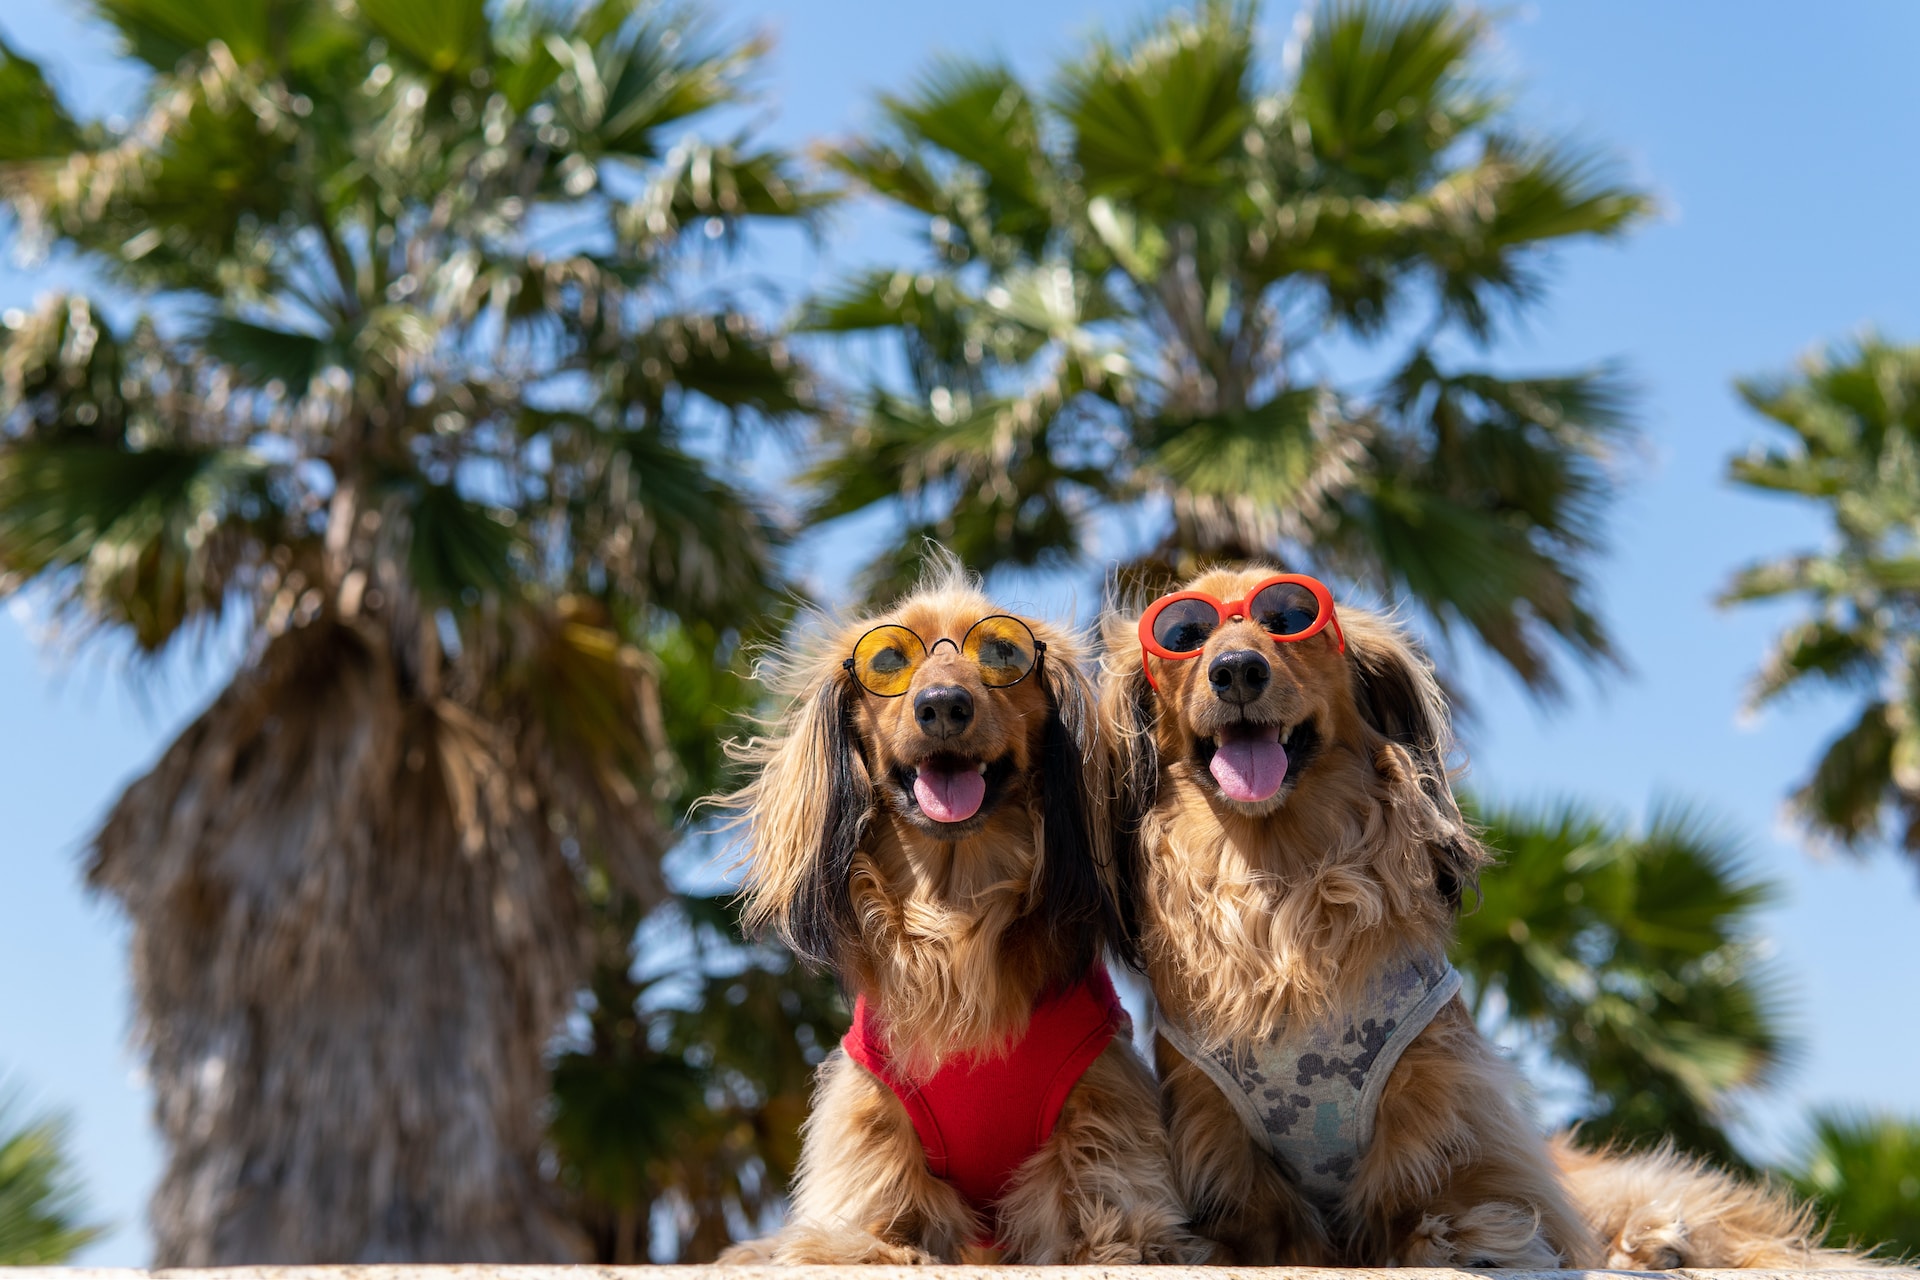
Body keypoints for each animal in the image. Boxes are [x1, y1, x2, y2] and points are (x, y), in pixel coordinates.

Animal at [714, 564, 1205, 1266]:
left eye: (1003, 652)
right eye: (888, 659)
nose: (943, 705)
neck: (955, 911)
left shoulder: (1098, 1101)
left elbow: (1107, 1215)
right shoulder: (873, 1120)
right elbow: (866, 1225)